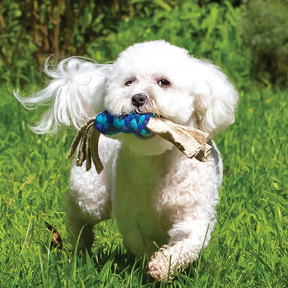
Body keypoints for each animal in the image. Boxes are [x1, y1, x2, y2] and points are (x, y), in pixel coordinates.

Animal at [16, 41, 240, 282]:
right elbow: (140, 243)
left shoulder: (195, 215)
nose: (138, 98)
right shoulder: (132, 219)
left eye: (164, 82)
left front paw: (162, 266)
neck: (159, 159)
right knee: (78, 214)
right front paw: (147, 268)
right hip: (92, 196)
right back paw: (78, 245)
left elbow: (188, 242)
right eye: (129, 82)